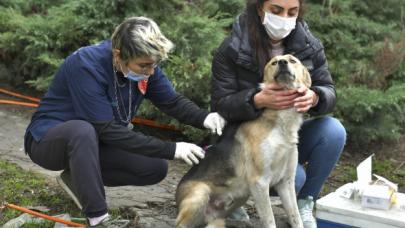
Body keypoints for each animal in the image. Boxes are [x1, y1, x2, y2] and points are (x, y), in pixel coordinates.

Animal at [175, 54, 310, 227]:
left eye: (293, 60)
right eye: (274, 62)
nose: (282, 62)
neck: (281, 123)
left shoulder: (285, 182)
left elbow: (296, 217)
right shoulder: (260, 182)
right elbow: (269, 220)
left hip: (237, 200)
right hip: (200, 194)